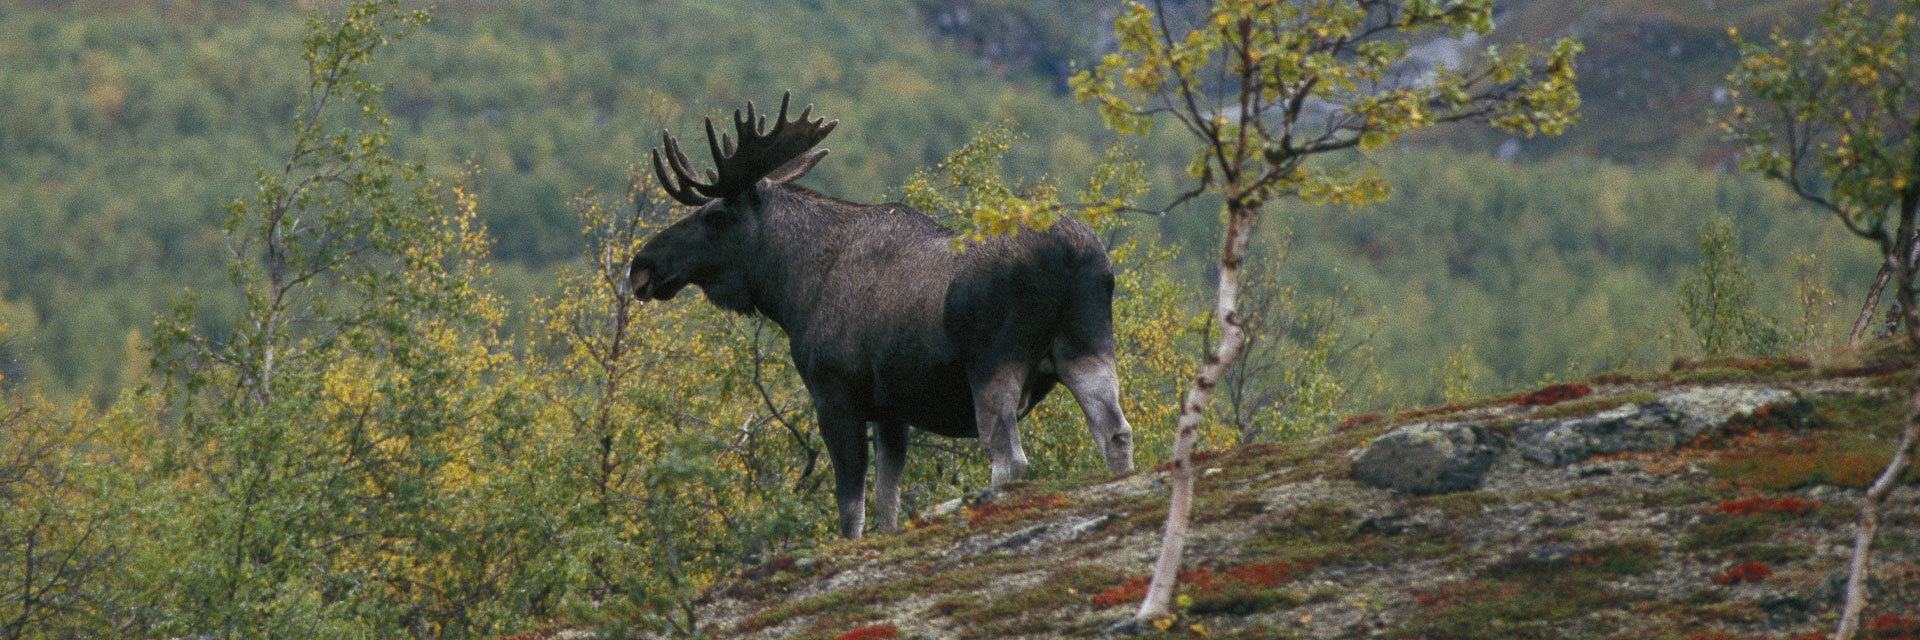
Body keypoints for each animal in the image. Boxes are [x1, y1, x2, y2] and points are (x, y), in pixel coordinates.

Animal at [629, 92, 1136, 534]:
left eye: (716, 216)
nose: (643, 266)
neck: (793, 289)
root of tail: (1075, 255)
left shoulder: (835, 394)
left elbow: (850, 504)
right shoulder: (892, 409)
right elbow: (887, 498)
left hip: (993, 362)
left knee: (1009, 459)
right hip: (1086, 346)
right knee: (1115, 432)